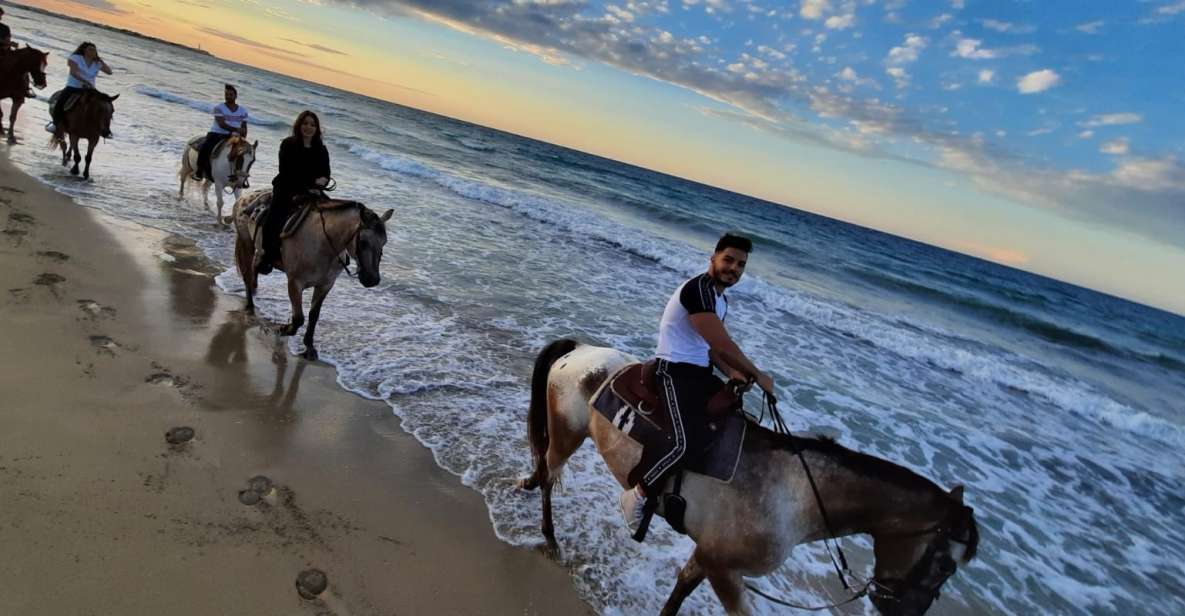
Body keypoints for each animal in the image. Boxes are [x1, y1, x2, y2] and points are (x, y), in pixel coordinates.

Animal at [231, 189, 393, 357]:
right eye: (363, 242)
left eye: (384, 242)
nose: (372, 279)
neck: (322, 245)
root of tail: (243, 198)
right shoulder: (295, 283)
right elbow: (298, 318)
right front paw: (283, 329)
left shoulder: (325, 285)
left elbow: (314, 315)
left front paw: (309, 346)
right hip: (246, 245)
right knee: (248, 275)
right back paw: (250, 306)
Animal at [519, 338, 981, 611]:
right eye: (945, 564)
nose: (905, 609)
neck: (797, 495)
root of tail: (579, 350)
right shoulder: (725, 571)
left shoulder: (709, 555)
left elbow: (680, 592)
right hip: (568, 434)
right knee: (550, 474)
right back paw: (549, 533)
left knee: (543, 468)